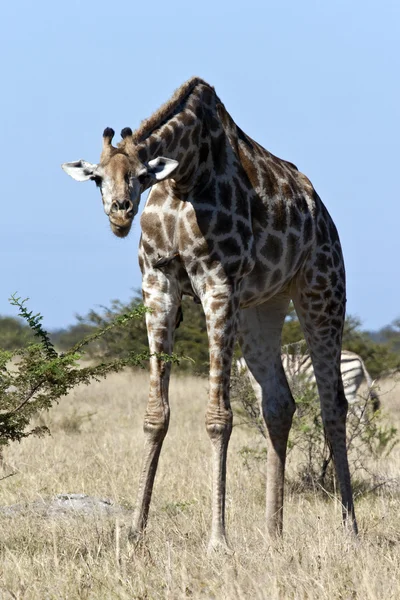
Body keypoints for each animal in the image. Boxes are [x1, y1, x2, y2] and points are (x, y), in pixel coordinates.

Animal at [63, 77, 360, 552]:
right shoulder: (158, 283)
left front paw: (218, 539)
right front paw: (135, 531)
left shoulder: (218, 284)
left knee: (334, 405)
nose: (120, 212)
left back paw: (349, 531)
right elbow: (156, 414)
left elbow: (219, 417)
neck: (184, 177)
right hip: (262, 307)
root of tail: (321, 211)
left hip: (323, 288)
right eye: (96, 179)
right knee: (279, 402)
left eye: (142, 175)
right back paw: (272, 533)